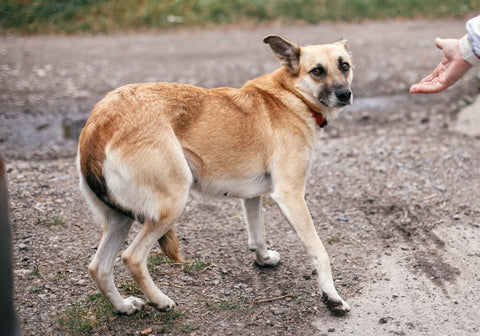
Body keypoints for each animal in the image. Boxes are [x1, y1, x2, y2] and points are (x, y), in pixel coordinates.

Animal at [78, 35, 352, 316]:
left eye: (344, 66)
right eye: (317, 71)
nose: (345, 94)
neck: (290, 96)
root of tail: (98, 124)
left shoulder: (252, 197)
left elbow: (258, 235)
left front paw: (263, 259)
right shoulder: (290, 196)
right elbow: (320, 252)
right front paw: (332, 297)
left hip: (120, 219)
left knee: (98, 268)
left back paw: (123, 306)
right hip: (172, 205)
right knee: (132, 258)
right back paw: (161, 301)